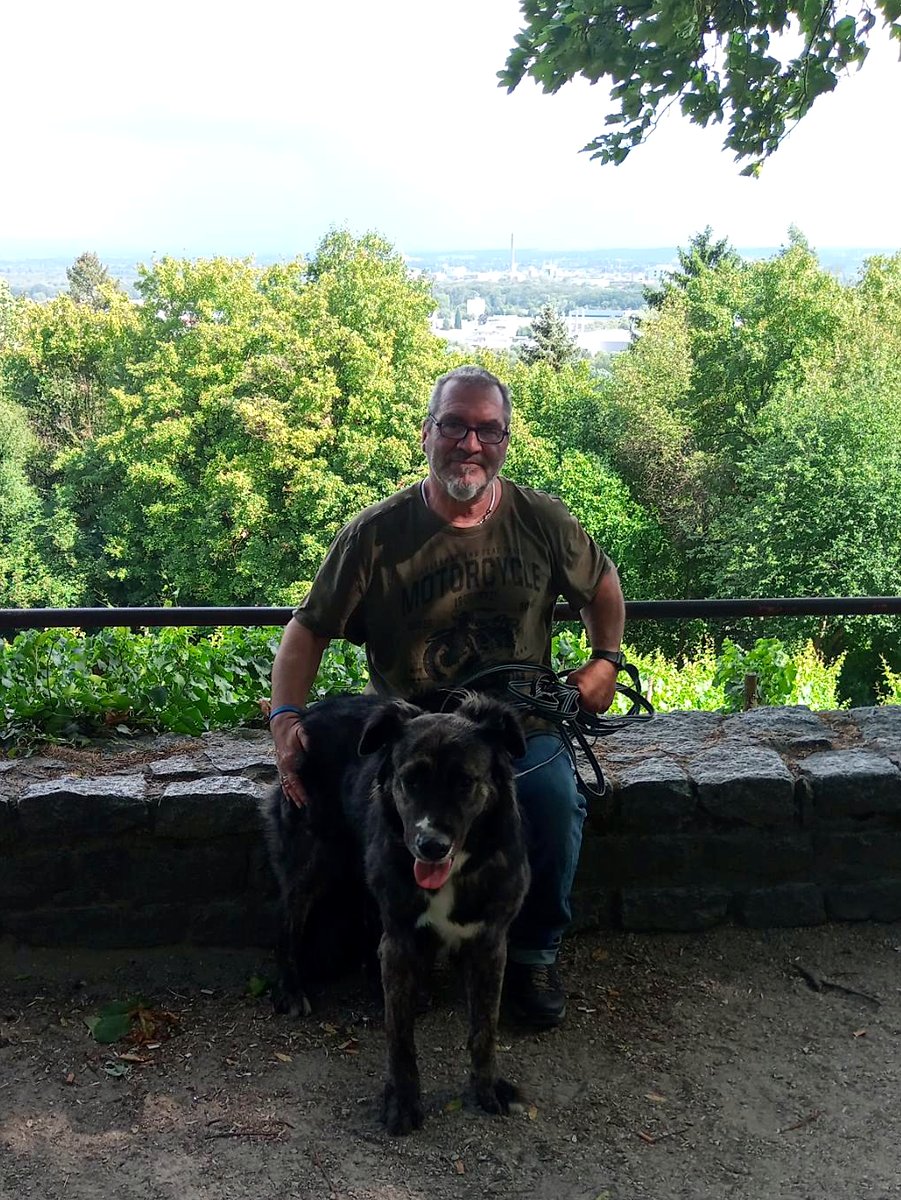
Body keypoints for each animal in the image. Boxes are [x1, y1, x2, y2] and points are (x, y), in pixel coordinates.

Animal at [260, 691, 530, 1135]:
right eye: (411, 780)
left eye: (464, 781)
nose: (431, 845)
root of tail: (314, 710)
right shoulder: (401, 940)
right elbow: (400, 1037)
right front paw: (402, 1102)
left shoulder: (490, 941)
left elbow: (484, 1028)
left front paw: (486, 1086)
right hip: (311, 859)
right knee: (286, 922)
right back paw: (291, 990)